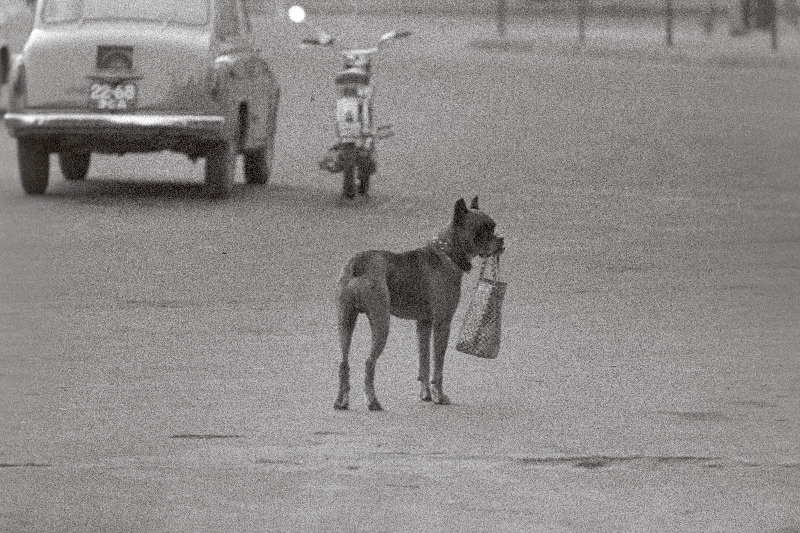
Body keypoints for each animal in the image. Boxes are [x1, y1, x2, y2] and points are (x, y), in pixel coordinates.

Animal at [334, 197, 504, 410]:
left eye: (494, 226)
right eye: (483, 229)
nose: (501, 239)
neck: (447, 252)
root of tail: (358, 264)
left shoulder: (423, 324)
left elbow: (424, 361)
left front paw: (426, 394)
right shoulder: (442, 324)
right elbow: (438, 364)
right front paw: (439, 396)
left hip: (345, 321)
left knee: (343, 362)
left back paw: (341, 400)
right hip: (381, 324)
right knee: (368, 362)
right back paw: (372, 401)